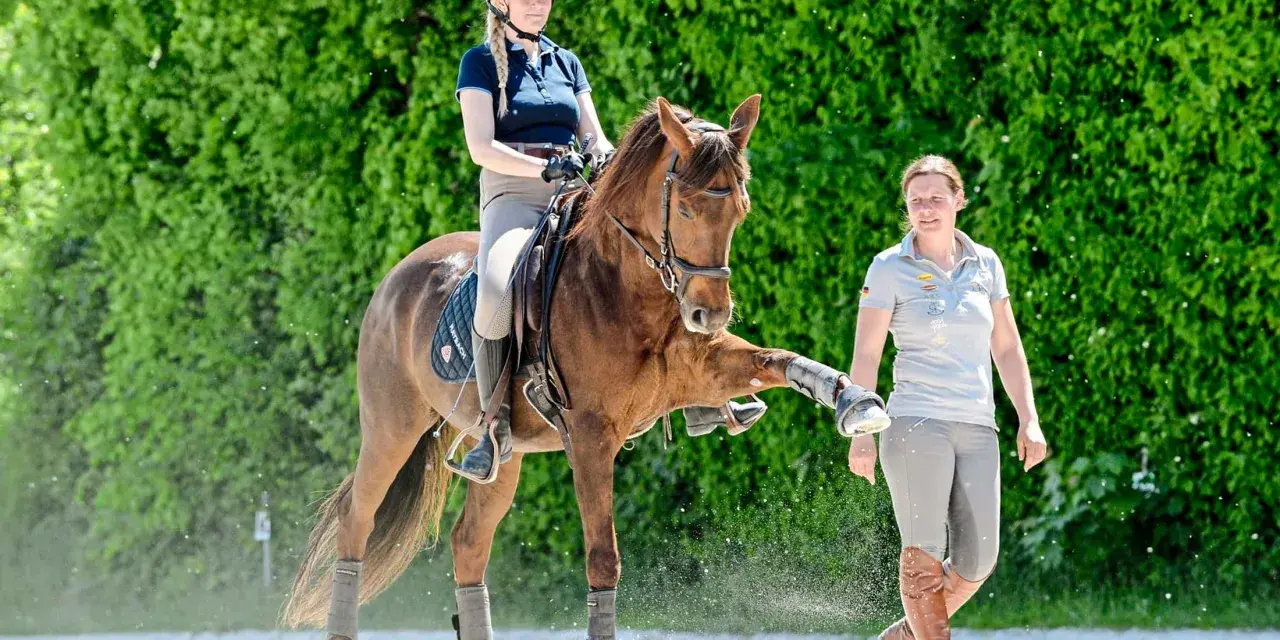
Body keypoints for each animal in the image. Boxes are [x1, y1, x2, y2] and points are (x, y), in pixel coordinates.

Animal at [280, 95, 888, 639]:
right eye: (686, 208)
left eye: (740, 208)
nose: (707, 313)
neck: (626, 288)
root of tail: (396, 275)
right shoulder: (592, 436)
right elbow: (603, 559)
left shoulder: (705, 368)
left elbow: (777, 360)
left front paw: (855, 402)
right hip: (392, 429)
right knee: (357, 522)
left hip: (500, 451)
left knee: (469, 543)